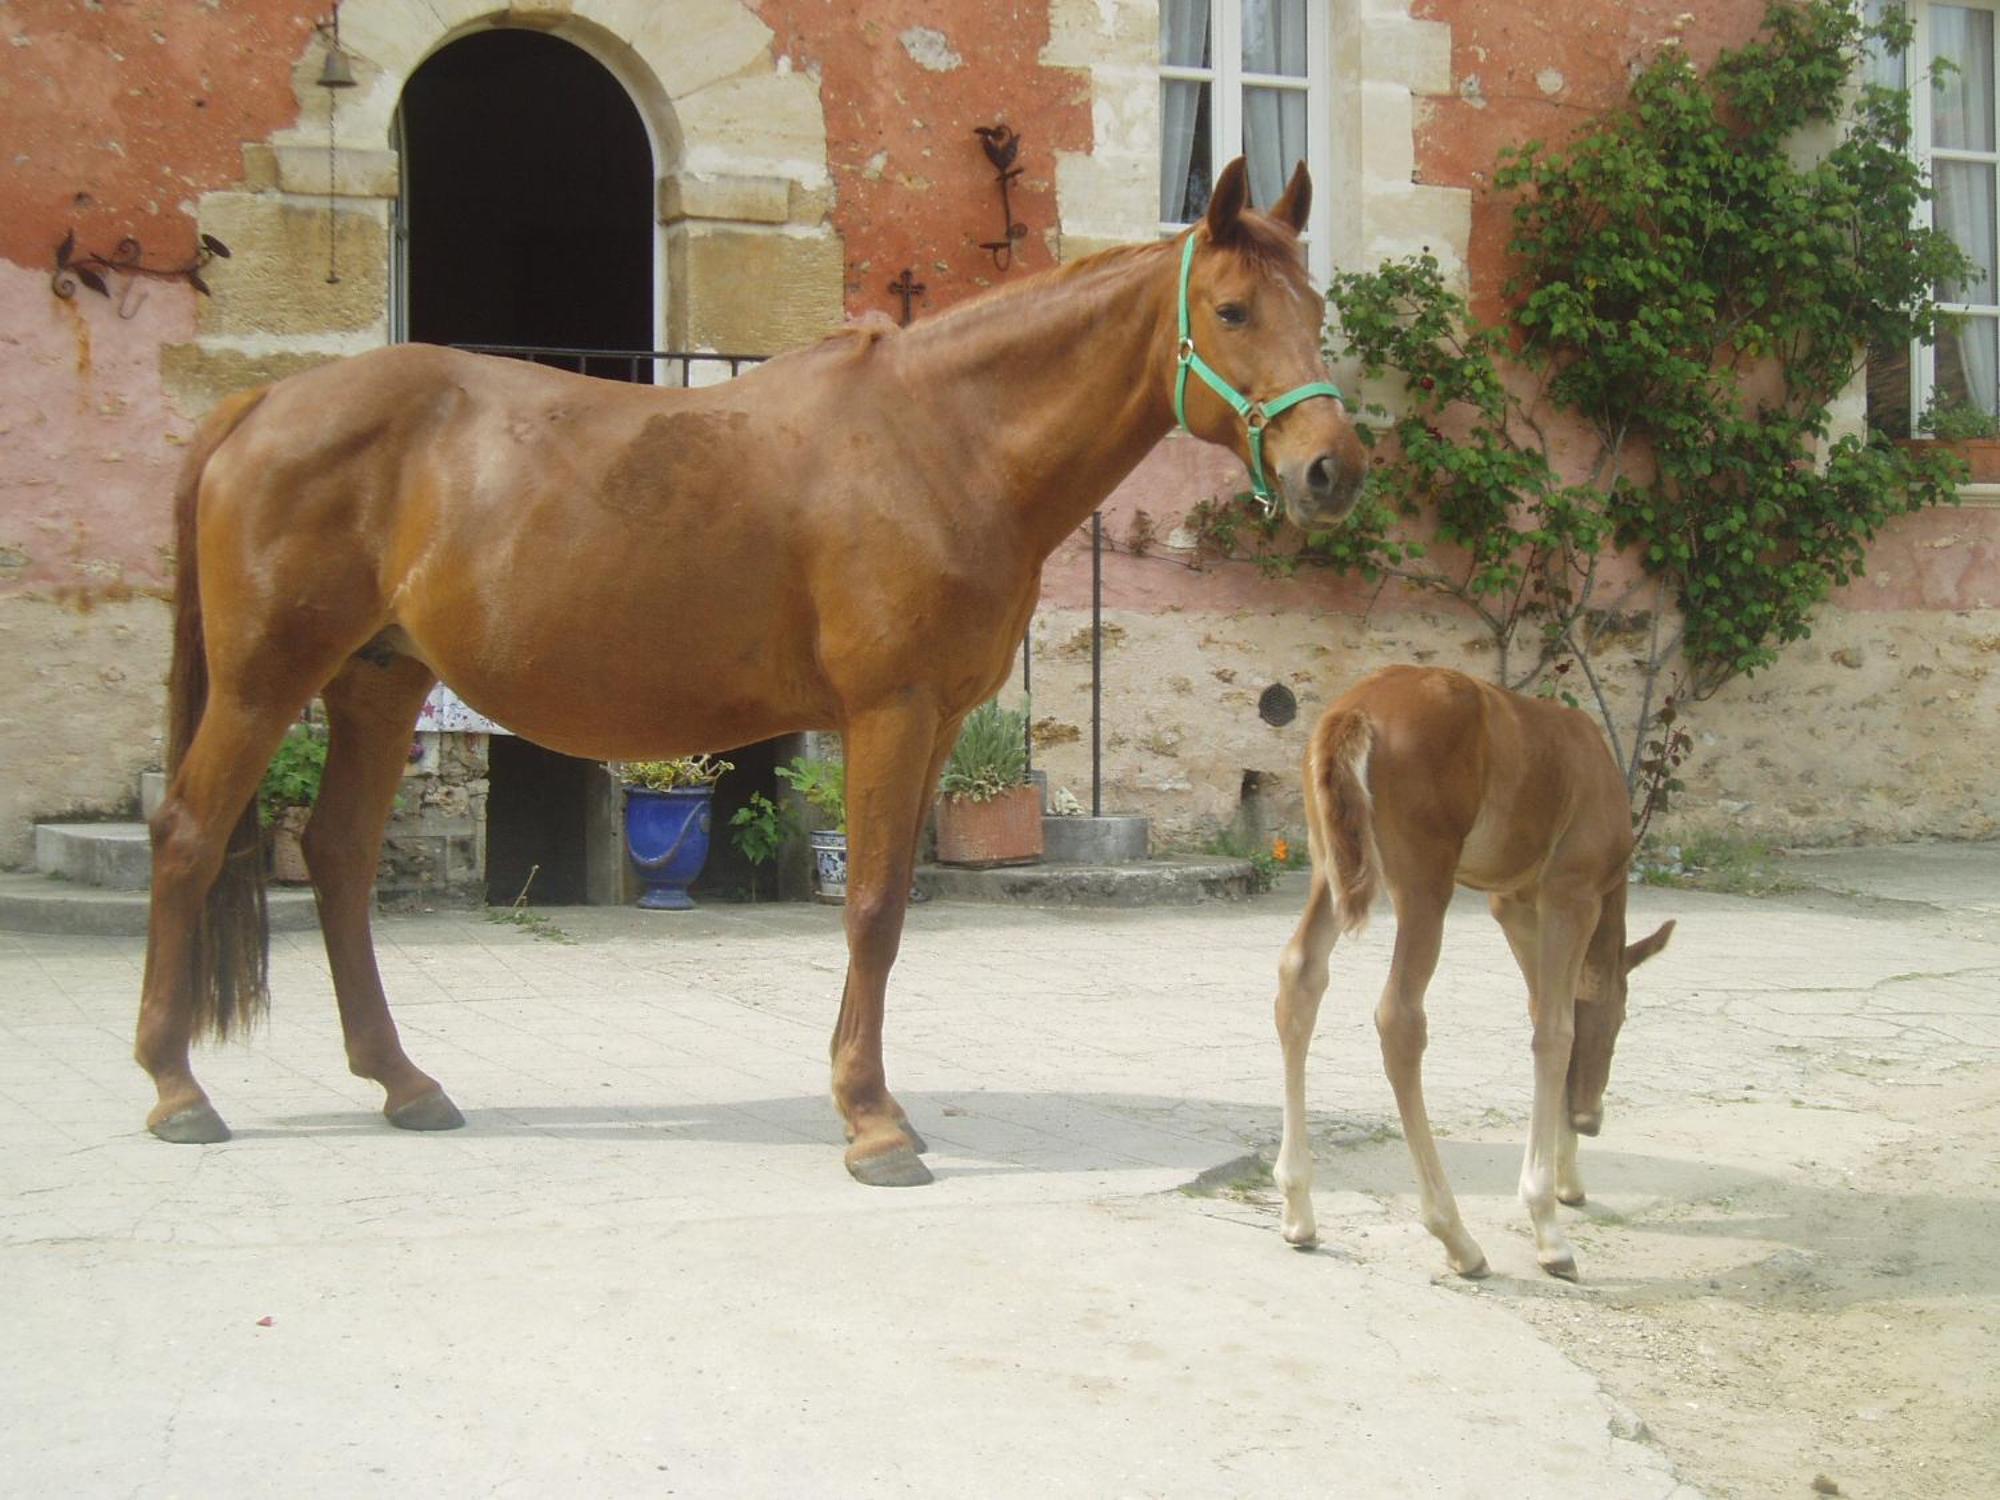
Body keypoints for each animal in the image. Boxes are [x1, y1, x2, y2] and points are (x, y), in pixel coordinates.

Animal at [133, 156, 1368, 1184]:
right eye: (1230, 310)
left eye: (1318, 313)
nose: (1332, 471)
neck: (945, 442)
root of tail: (261, 404)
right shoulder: (890, 712)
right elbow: (870, 907)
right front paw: (872, 1123)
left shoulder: (930, 722)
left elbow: (892, 907)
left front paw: (870, 1102)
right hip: (264, 683)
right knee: (189, 836)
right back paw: (176, 1088)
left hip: (379, 684)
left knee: (338, 858)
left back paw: (404, 1084)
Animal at [1272, 668, 1680, 1280]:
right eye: (1621, 1020)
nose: (1590, 1119)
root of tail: (1354, 712)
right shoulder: (1571, 892)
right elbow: (1556, 1030)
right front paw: (1548, 1225)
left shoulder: (1512, 903)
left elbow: (1544, 1012)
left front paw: (1569, 1180)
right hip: (1424, 883)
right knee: (1400, 1017)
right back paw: (1456, 1236)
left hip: (1328, 866)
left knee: (1300, 977)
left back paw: (1298, 1209)